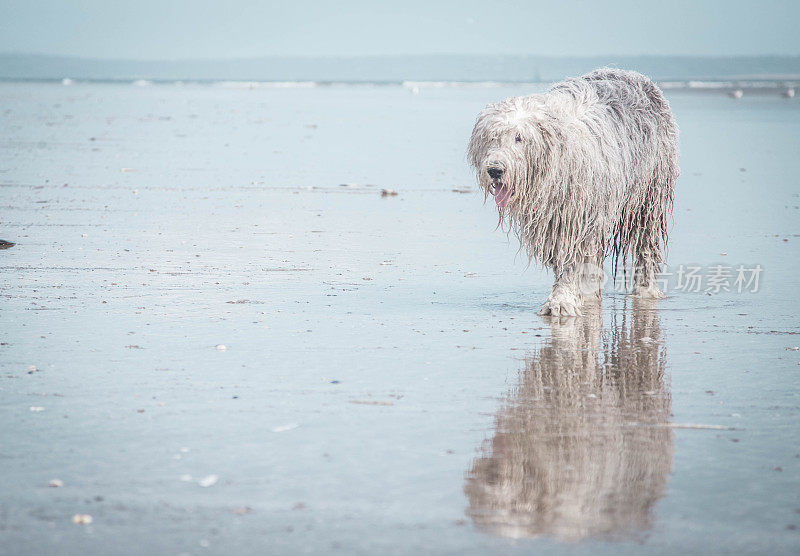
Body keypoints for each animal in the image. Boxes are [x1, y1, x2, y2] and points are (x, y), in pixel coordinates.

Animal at [468, 67, 680, 314]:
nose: (495, 170)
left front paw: (561, 301)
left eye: (519, 138)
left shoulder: (579, 215)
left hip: (649, 195)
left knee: (646, 245)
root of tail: (633, 75)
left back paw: (646, 290)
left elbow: (571, 261)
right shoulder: (557, 220)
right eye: (491, 137)